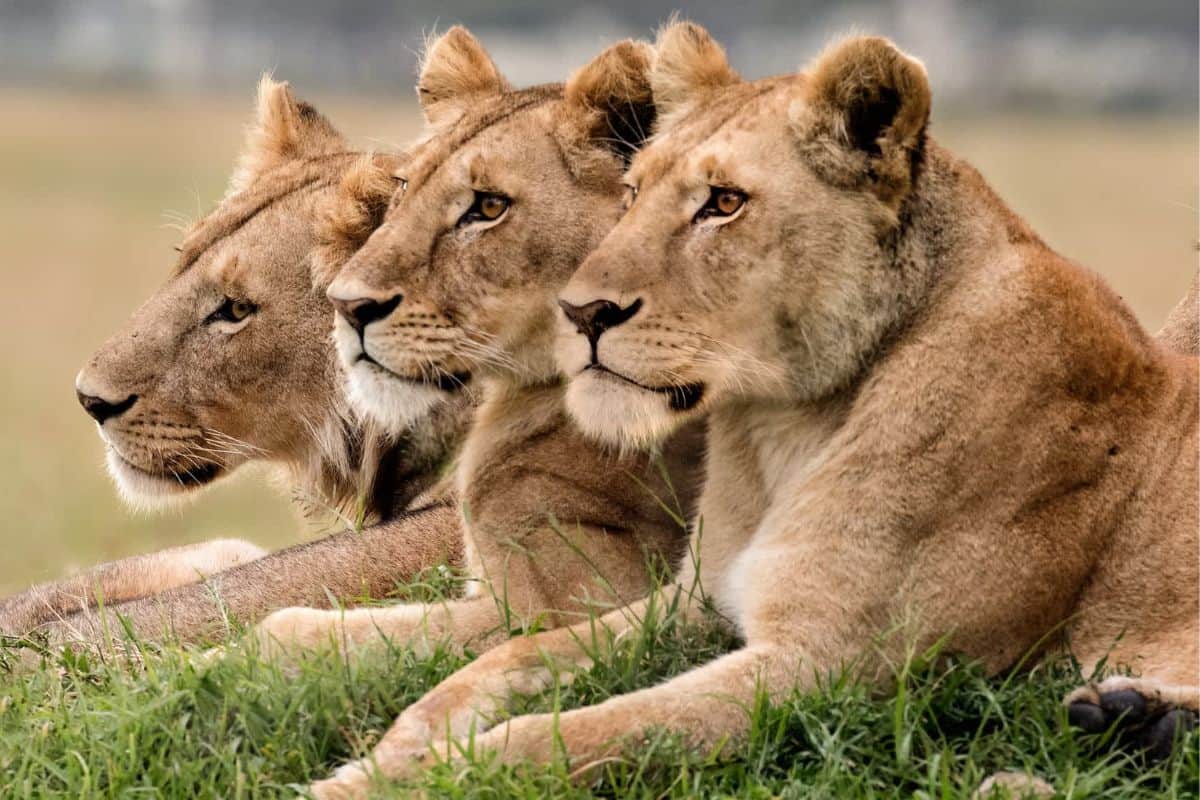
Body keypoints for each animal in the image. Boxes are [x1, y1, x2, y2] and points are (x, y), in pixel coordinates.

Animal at [304, 23, 1198, 798]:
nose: (582, 312)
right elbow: (500, 665)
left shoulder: (838, 665)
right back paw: (1131, 721)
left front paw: (415, 780)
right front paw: (390, 753)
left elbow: (594, 730)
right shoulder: (689, 601)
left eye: (725, 202)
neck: (786, 427)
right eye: (633, 192)